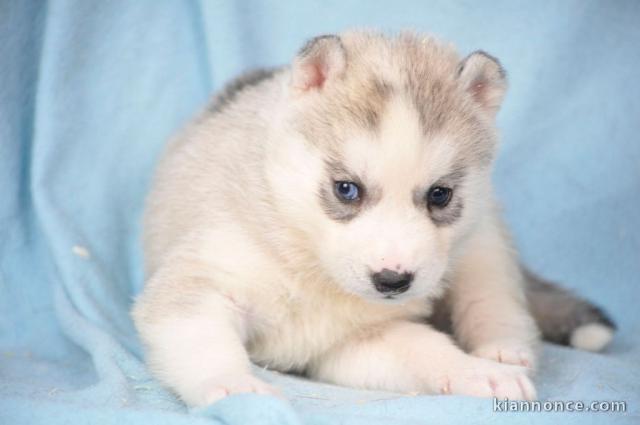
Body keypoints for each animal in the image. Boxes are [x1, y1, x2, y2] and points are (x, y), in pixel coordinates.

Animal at [131, 31, 616, 406]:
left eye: (440, 195)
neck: (311, 265)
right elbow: (198, 332)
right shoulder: (209, 275)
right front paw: (233, 386)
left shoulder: (362, 334)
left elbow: (426, 345)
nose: (392, 281)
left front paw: (478, 371)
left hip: (482, 239)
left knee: (494, 296)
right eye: (346, 189)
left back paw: (502, 347)